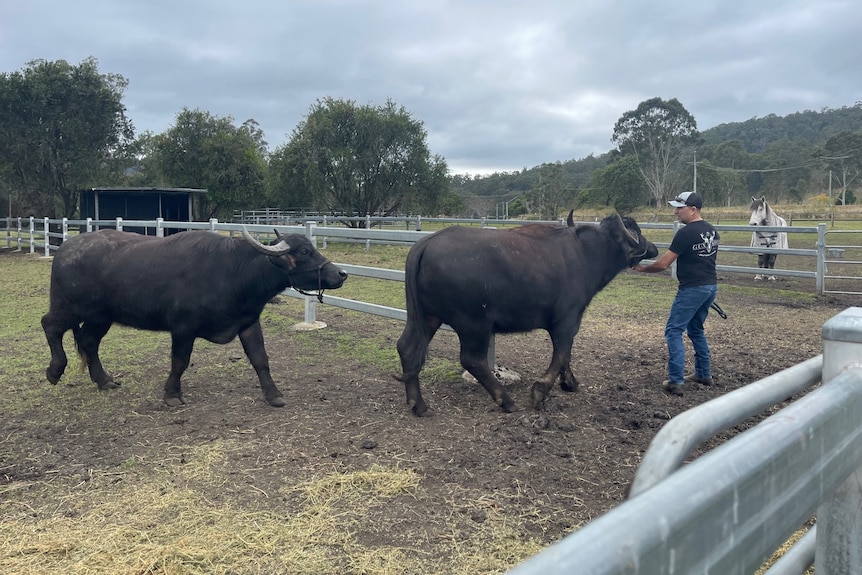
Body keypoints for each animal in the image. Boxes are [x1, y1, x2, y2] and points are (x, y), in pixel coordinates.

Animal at [42, 227, 348, 408]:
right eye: (305, 252)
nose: (341, 273)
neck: (233, 272)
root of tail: (65, 250)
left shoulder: (248, 323)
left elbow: (260, 358)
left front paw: (273, 395)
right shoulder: (183, 328)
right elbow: (179, 362)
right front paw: (171, 394)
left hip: (100, 317)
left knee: (89, 342)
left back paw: (104, 380)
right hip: (68, 307)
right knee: (50, 325)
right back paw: (55, 370)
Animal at [398, 214, 660, 416]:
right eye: (636, 231)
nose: (654, 247)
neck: (585, 254)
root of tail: (425, 244)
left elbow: (565, 356)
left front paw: (570, 382)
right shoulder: (567, 320)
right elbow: (562, 353)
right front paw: (540, 391)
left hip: (427, 318)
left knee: (407, 347)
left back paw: (419, 405)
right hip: (474, 324)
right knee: (472, 359)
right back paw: (506, 400)